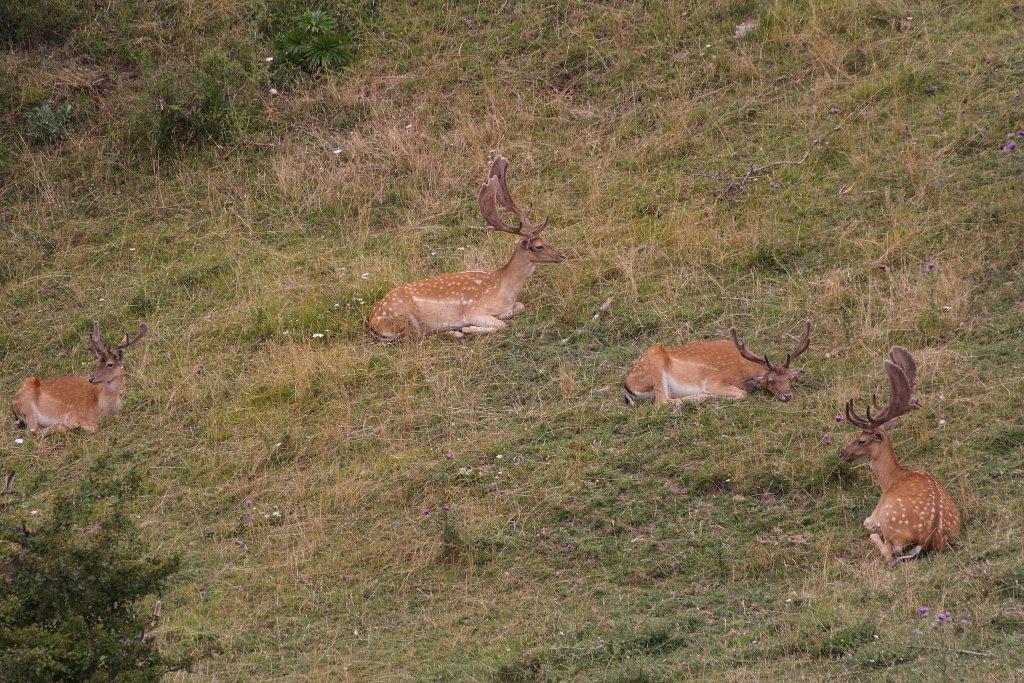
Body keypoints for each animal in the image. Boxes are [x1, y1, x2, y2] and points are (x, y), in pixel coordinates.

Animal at [11, 321, 147, 438]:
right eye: (96, 362)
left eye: (110, 364)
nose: (91, 378)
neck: (104, 410)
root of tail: (13, 405)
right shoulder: (73, 414)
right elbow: (94, 427)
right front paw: (74, 426)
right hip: (27, 405)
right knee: (32, 431)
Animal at [368, 158, 565, 342]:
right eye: (538, 246)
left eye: (546, 239)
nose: (562, 255)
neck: (505, 289)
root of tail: (373, 320)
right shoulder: (474, 310)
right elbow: (501, 324)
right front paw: (469, 329)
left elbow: (519, 308)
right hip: (405, 318)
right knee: (417, 336)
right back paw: (457, 332)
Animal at [618, 321, 811, 405]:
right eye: (770, 381)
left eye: (790, 379)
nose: (787, 395)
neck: (742, 371)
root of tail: (628, 385)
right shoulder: (714, 381)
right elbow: (742, 394)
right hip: (655, 362)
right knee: (662, 401)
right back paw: (702, 397)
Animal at [839, 348, 958, 561]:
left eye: (862, 440)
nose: (843, 453)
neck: (891, 478)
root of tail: (927, 539)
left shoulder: (877, 510)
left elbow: (866, 521)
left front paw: (872, 529)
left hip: (891, 521)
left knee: (888, 553)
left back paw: (874, 536)